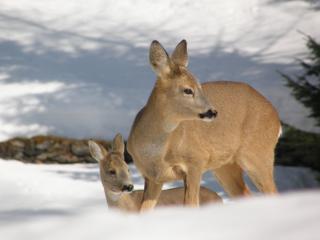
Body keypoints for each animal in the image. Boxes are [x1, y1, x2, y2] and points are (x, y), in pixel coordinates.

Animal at [126, 40, 282, 211]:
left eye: (200, 86)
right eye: (187, 90)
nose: (212, 111)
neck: (155, 152)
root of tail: (276, 117)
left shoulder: (196, 160)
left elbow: (191, 205)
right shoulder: (152, 177)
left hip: (257, 154)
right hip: (225, 166)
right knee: (246, 194)